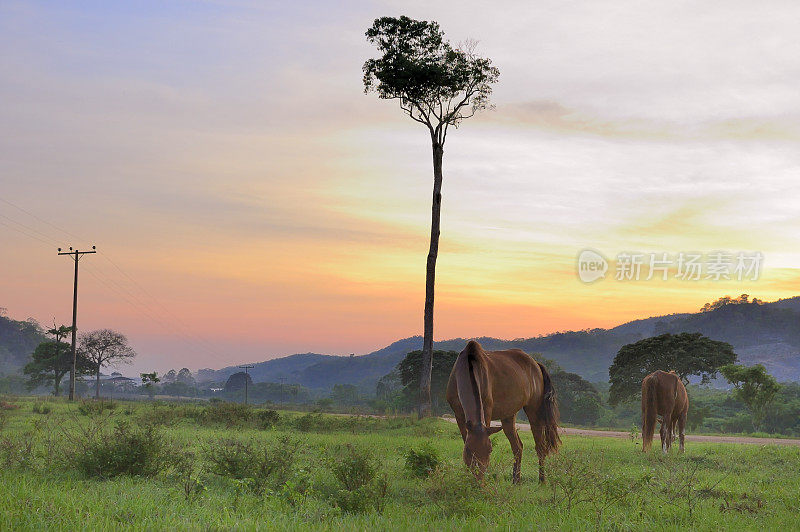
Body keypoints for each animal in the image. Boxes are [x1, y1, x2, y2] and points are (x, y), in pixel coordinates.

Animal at [444, 340, 564, 482]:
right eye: (468, 450)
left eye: (490, 450)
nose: (479, 479)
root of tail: (536, 364)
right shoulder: (458, 415)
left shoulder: (487, 410)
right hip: (509, 415)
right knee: (517, 446)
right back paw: (516, 480)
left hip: (534, 410)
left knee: (540, 446)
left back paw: (542, 481)